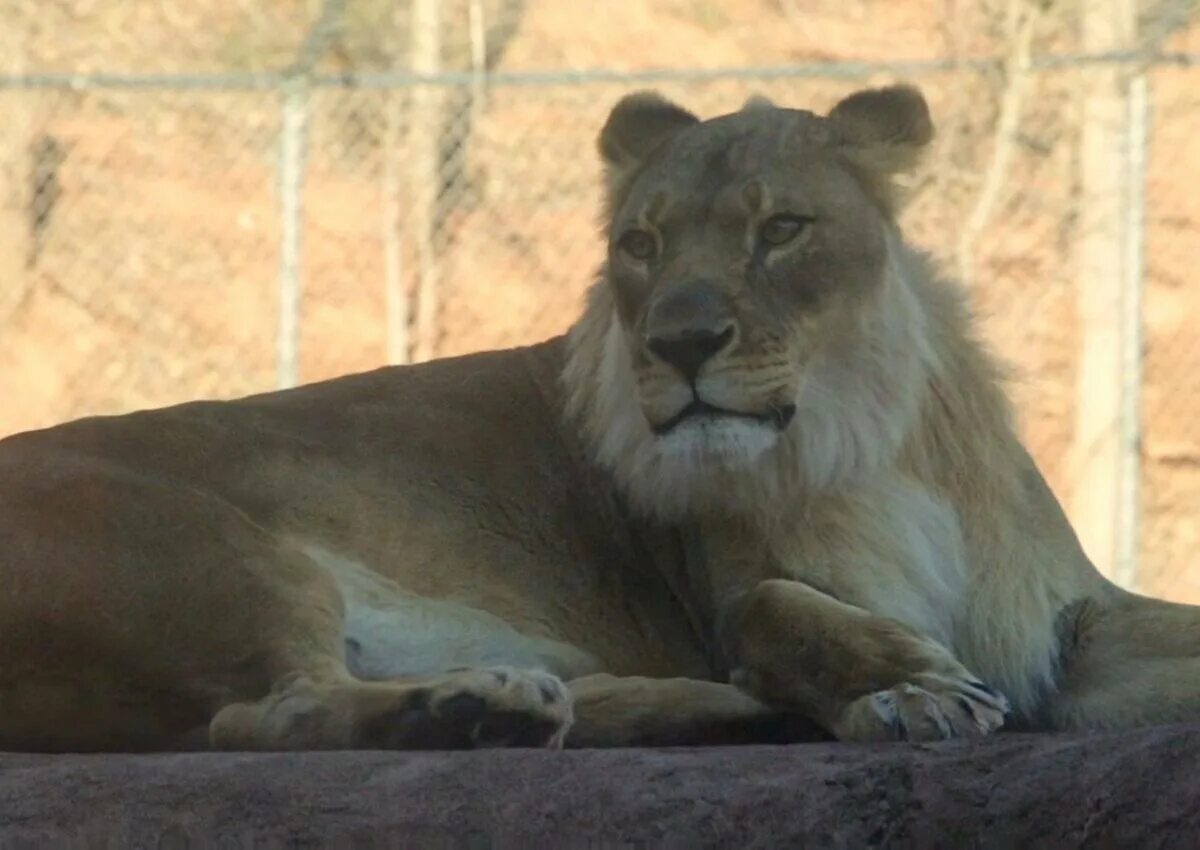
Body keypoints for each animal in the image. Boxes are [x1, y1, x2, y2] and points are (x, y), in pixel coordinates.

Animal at [2, 84, 1200, 749]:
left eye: (781, 229)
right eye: (640, 244)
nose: (679, 342)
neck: (864, 444)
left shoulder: (1072, 617)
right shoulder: (737, 591)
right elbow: (774, 607)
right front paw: (906, 689)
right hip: (205, 544)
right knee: (264, 715)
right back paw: (485, 713)